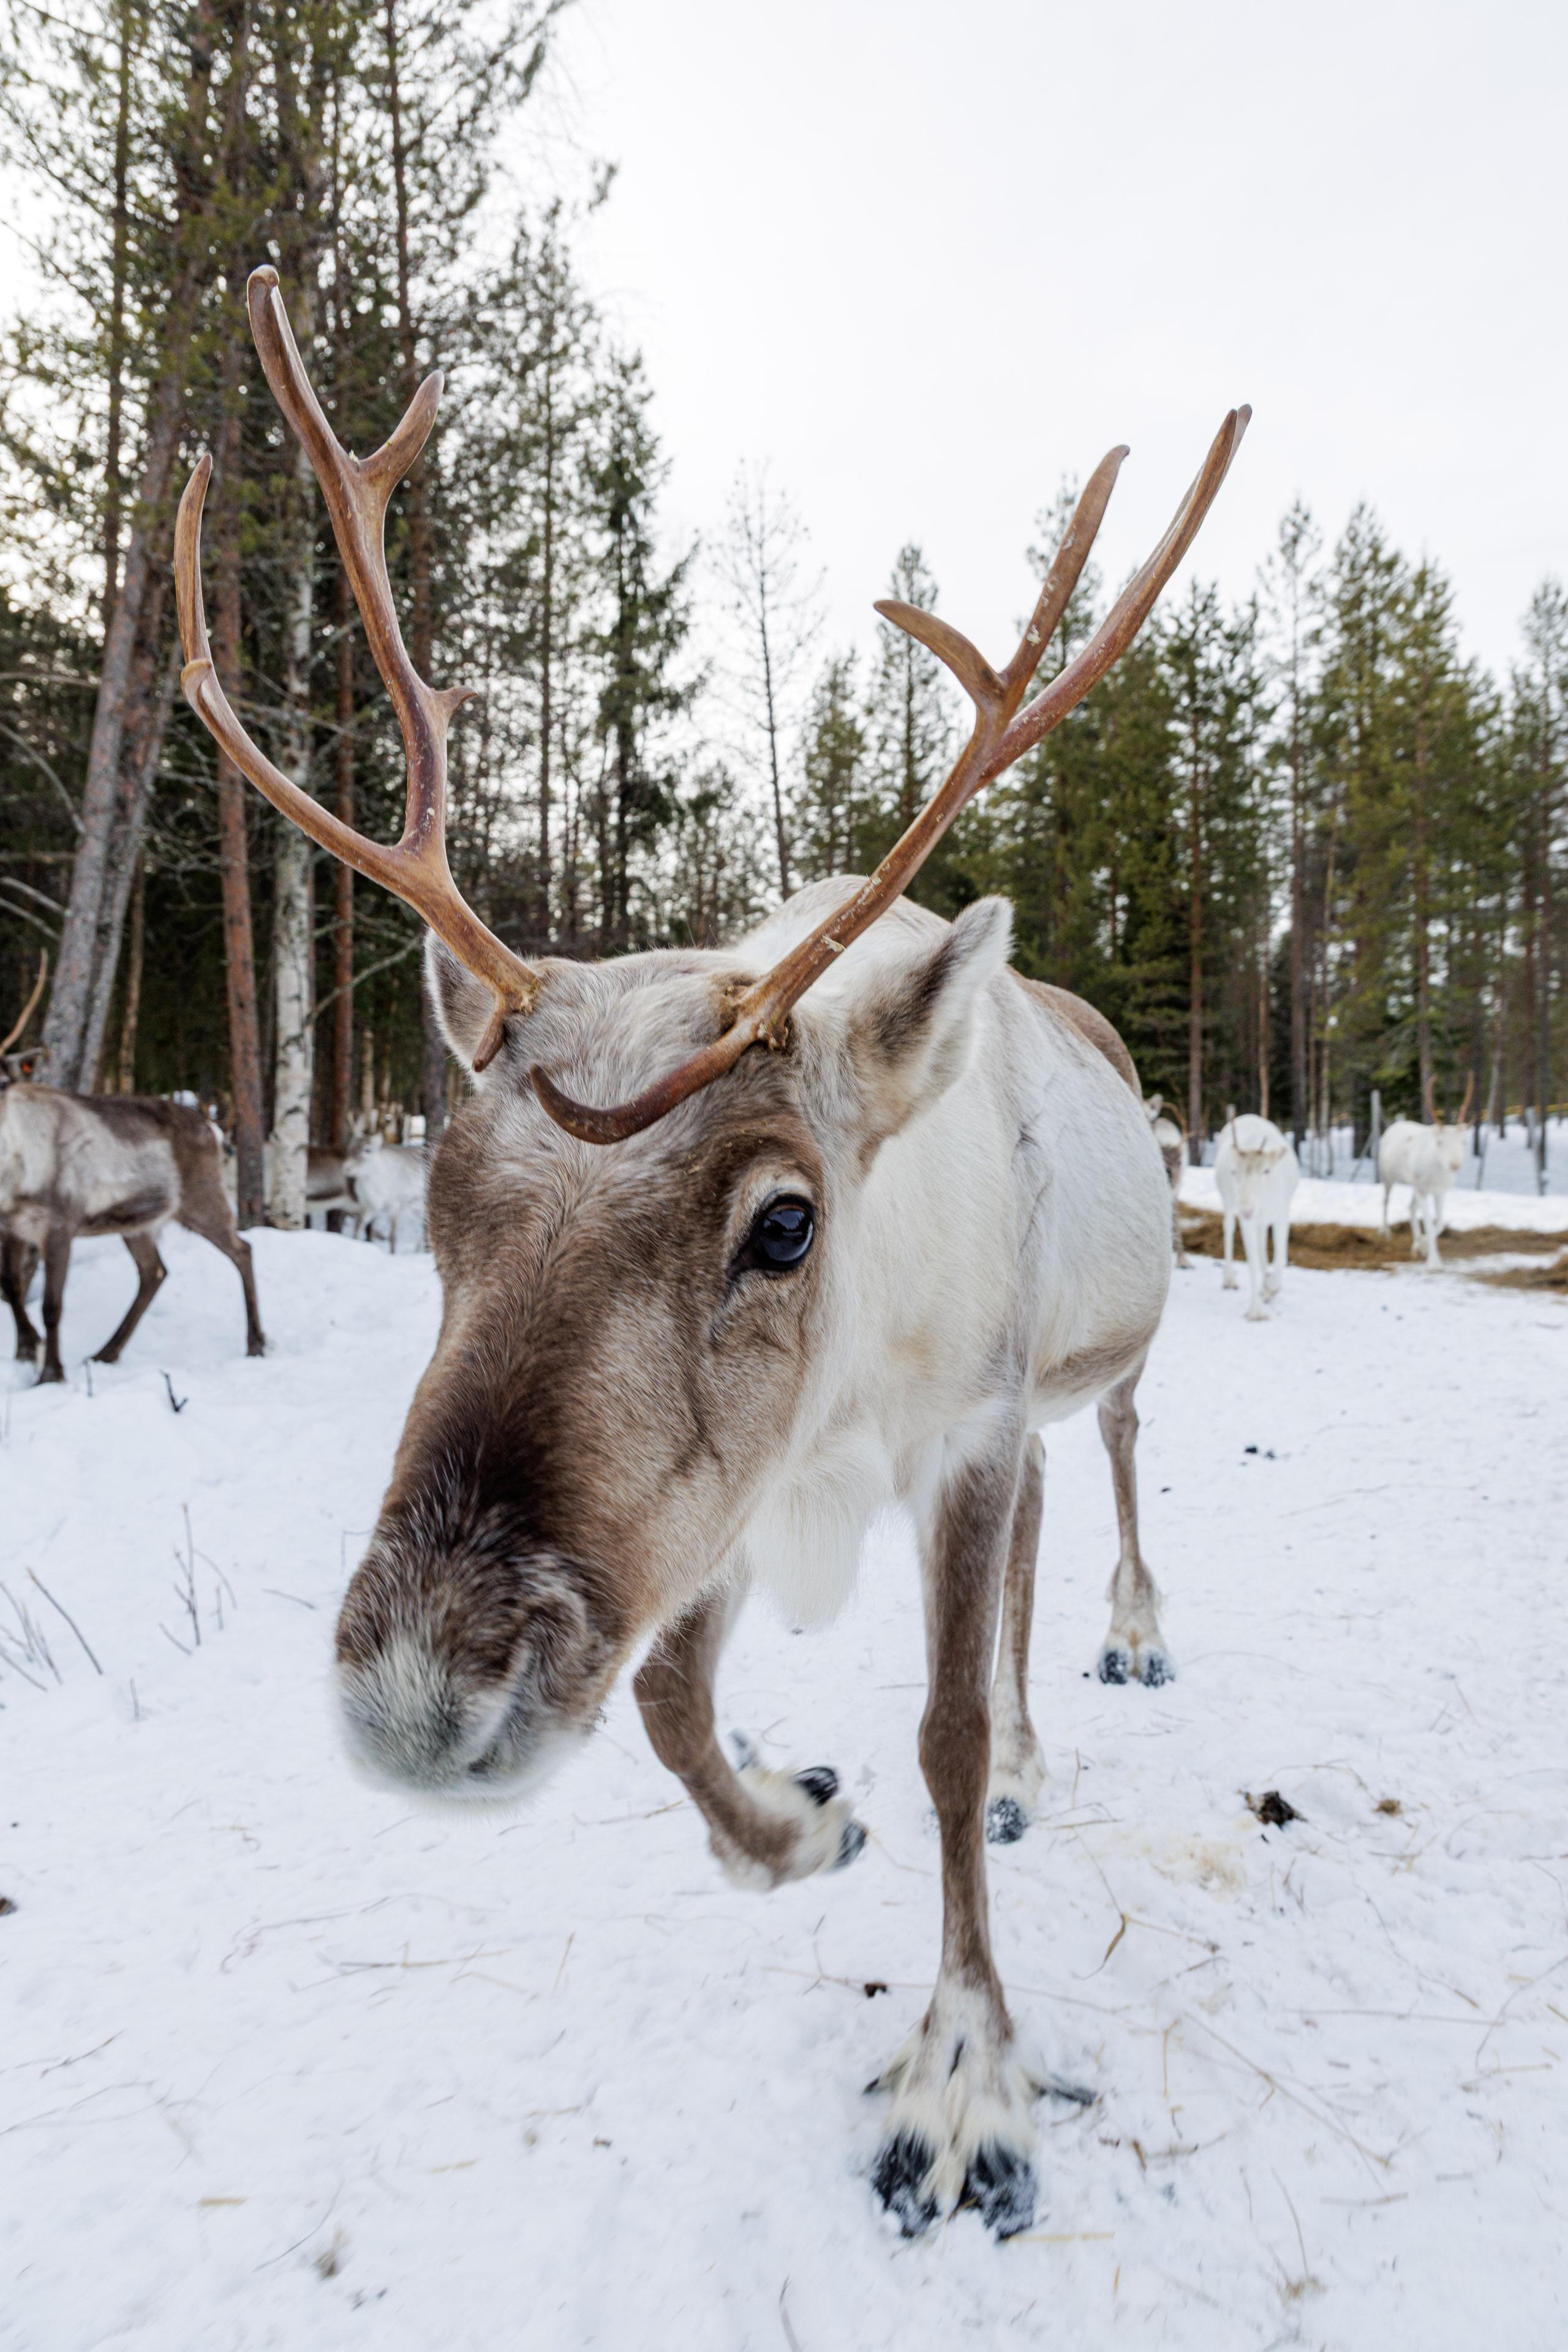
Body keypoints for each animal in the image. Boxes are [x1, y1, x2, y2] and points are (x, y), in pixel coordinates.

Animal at [173, 266, 1247, 2240]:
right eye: (440, 1199)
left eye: (783, 1219)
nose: (418, 1703)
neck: (861, 1377)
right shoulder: (742, 1480)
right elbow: (675, 1698)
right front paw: (799, 1816)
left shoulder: (963, 1424)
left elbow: (942, 1730)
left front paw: (962, 2090)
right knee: (1038, 1545)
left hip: (1101, 1356)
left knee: (1116, 1469)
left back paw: (1123, 1651)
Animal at [1214, 1114, 1299, 1321]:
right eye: (1233, 1170)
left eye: (1266, 1170)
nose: (1246, 1210)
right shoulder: (1248, 1222)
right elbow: (1252, 1263)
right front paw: (1256, 1312)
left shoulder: (1281, 1214)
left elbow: (1281, 1258)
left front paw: (1271, 1288)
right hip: (1228, 1203)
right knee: (1229, 1228)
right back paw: (1229, 1280)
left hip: (1264, 1220)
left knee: (1263, 1245)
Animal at [1378, 1073, 1473, 1266]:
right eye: (1440, 1142)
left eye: (1464, 1142)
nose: (1455, 1165)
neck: (1437, 1175)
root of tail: (1391, 1128)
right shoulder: (1422, 1189)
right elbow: (1429, 1222)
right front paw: (1434, 1261)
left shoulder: (1440, 1192)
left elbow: (1440, 1222)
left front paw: (1422, 1247)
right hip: (1387, 1176)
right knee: (1386, 1200)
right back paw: (1386, 1232)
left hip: (1414, 1184)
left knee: (1411, 1207)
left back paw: (1415, 1244)